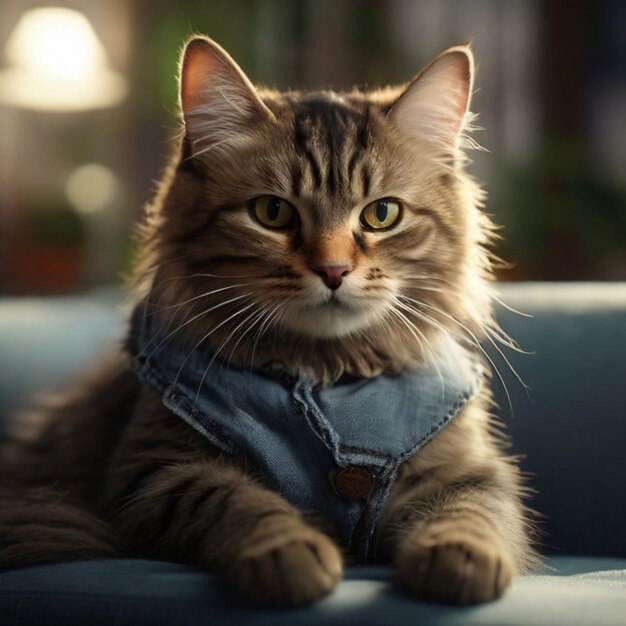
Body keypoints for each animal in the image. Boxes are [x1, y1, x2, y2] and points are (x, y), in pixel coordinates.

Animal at [1, 35, 536, 604]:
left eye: (382, 214)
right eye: (272, 214)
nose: (333, 270)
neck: (324, 376)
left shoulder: (467, 470)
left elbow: (471, 511)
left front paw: (459, 559)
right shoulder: (157, 469)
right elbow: (238, 502)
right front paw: (289, 555)